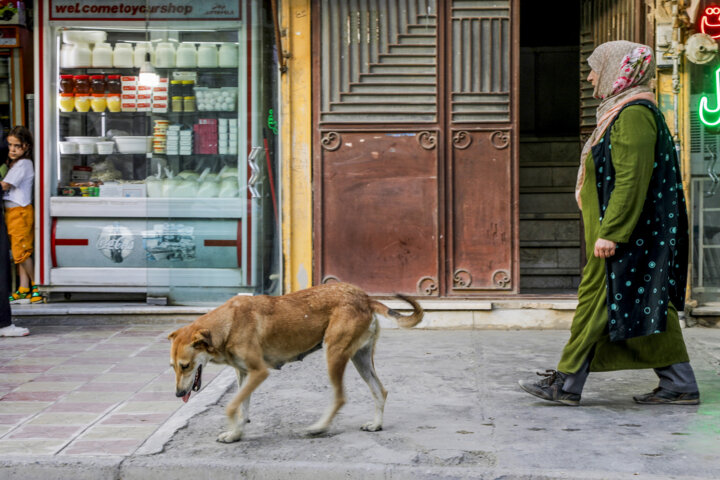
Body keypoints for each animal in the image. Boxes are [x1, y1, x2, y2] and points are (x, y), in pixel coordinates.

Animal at [169, 282, 424, 442]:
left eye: (185, 366)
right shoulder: (244, 375)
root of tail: (365, 297)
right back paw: (376, 424)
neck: (227, 324)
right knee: (380, 390)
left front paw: (234, 432)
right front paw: (236, 434)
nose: (177, 394)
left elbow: (231, 406)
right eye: (172, 367)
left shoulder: (259, 372)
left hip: (334, 354)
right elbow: (242, 407)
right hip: (360, 359)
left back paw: (319, 428)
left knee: (340, 397)